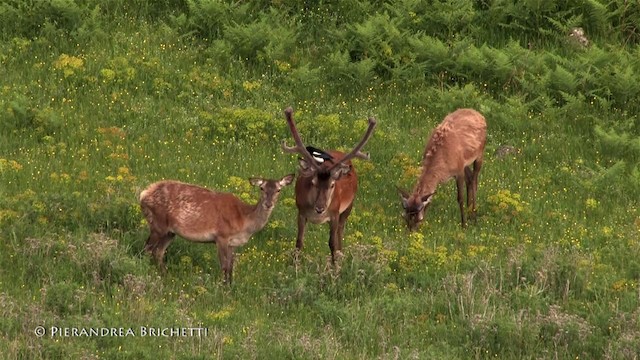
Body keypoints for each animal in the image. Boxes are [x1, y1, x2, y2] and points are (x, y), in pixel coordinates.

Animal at [140, 174, 296, 284]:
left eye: (279, 190)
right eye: (262, 188)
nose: (268, 204)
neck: (244, 220)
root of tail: (143, 194)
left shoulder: (233, 243)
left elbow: (231, 267)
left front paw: (231, 287)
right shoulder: (221, 236)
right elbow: (224, 266)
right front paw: (223, 289)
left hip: (170, 232)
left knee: (158, 252)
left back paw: (166, 275)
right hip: (157, 223)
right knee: (147, 249)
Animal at [282, 107, 380, 264]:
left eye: (333, 185)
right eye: (313, 182)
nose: (320, 208)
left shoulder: (334, 213)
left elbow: (332, 243)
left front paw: (335, 268)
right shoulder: (301, 212)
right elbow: (299, 242)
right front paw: (294, 265)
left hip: (349, 205)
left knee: (341, 229)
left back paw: (341, 254)